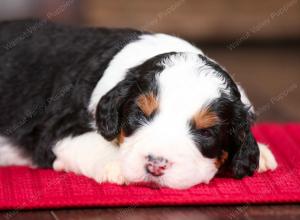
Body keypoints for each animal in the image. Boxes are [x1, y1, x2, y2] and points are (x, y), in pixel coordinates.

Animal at [0, 19, 276, 189]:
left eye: (207, 132)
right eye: (139, 115)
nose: (155, 165)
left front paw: (259, 154)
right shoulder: (57, 129)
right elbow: (91, 141)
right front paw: (117, 165)